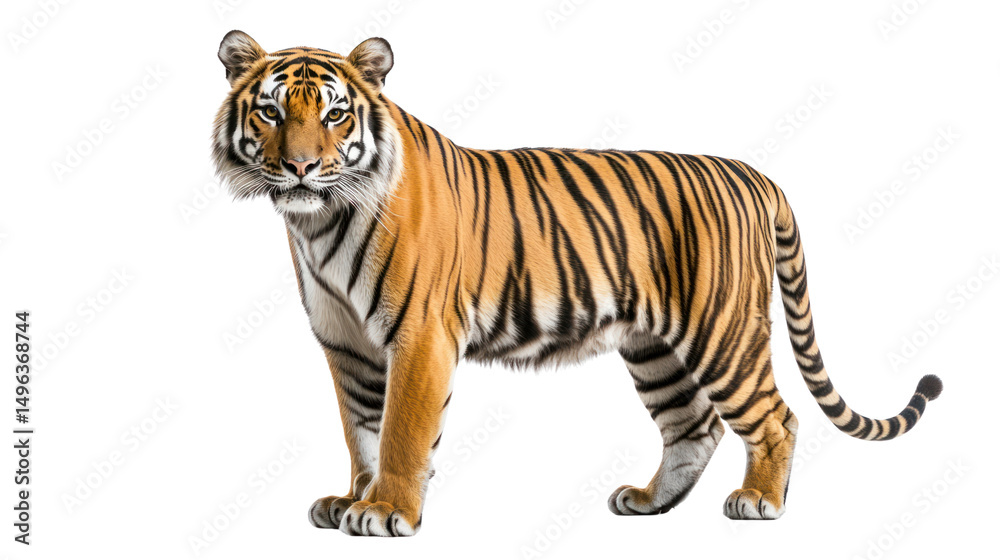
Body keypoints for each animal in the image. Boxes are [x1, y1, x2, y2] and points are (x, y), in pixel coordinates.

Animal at [211, 30, 943, 537]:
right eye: (272, 113)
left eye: (335, 115)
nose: (302, 168)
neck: (320, 222)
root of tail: (755, 175)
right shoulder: (349, 345)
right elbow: (360, 428)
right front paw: (353, 499)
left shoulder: (418, 335)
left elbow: (400, 432)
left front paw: (387, 509)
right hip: (656, 348)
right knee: (693, 427)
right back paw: (648, 503)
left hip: (722, 333)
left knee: (775, 416)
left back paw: (759, 501)